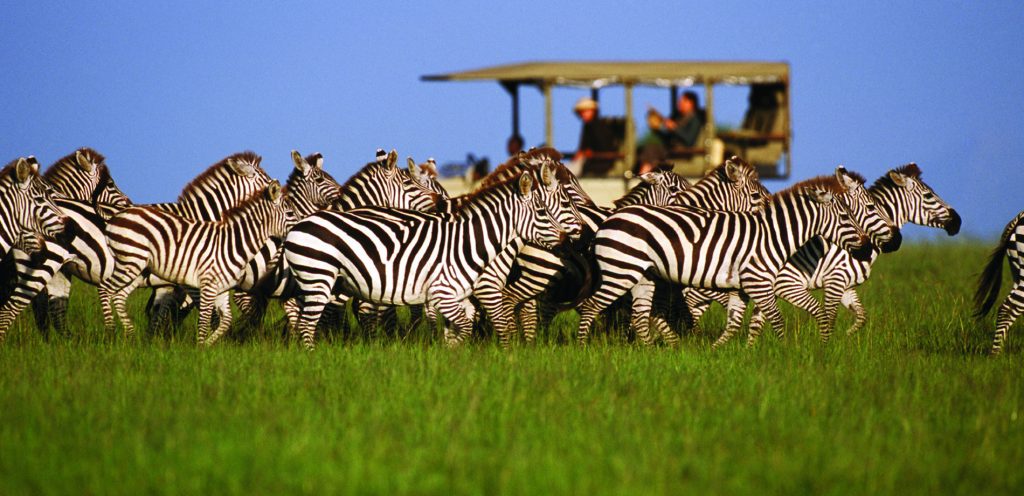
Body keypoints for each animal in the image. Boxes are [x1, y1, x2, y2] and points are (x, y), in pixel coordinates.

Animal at [101, 182, 290, 344]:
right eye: (290, 213)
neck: (233, 244)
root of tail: (117, 215)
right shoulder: (207, 285)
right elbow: (205, 320)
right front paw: (200, 350)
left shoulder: (222, 289)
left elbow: (225, 321)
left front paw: (208, 345)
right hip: (130, 261)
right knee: (105, 289)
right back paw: (110, 332)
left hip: (137, 267)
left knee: (119, 295)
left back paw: (131, 335)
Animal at [283, 164, 578, 349]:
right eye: (543, 211)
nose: (570, 240)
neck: (469, 244)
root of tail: (298, 225)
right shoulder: (447, 293)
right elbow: (475, 326)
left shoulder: (459, 297)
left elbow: (457, 330)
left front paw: (451, 361)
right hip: (320, 279)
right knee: (309, 323)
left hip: (310, 283)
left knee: (301, 317)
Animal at [576, 169, 889, 346]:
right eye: (846, 217)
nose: (865, 250)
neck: (774, 236)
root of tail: (609, 220)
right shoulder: (756, 283)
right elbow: (776, 319)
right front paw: (787, 352)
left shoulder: (740, 287)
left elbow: (739, 322)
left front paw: (724, 352)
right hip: (621, 271)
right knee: (591, 306)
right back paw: (582, 347)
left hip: (643, 276)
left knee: (639, 316)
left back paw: (651, 352)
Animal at [688, 163, 957, 342]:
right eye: (929, 195)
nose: (958, 222)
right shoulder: (825, 280)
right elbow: (828, 315)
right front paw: (825, 347)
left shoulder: (846, 285)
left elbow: (861, 316)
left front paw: (846, 337)